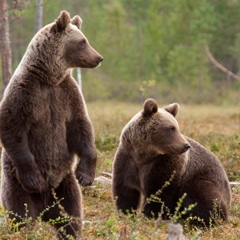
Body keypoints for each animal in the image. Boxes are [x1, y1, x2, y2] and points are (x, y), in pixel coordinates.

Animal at [0, 10, 102, 239]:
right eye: (83, 42)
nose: (99, 58)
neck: (49, 78)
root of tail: (45, 209)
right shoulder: (26, 92)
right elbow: (12, 126)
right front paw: (34, 178)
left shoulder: (67, 95)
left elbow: (80, 127)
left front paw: (86, 175)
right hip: (15, 183)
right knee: (21, 214)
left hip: (64, 184)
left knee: (72, 214)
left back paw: (70, 230)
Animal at [113, 98, 232, 227]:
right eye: (171, 128)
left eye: (177, 127)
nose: (186, 145)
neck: (144, 154)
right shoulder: (128, 160)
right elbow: (125, 191)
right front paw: (126, 214)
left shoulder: (164, 164)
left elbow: (159, 191)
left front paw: (150, 216)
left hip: (203, 178)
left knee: (203, 196)